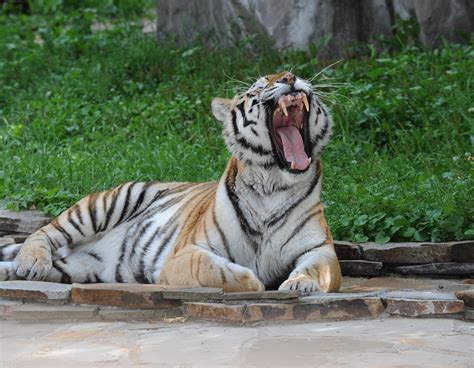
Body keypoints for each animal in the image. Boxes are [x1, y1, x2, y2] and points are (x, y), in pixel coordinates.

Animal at [0, 70, 340, 292]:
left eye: (294, 72)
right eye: (258, 87)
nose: (290, 78)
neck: (273, 183)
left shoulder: (321, 249)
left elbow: (318, 269)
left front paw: (300, 284)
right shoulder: (186, 253)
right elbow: (214, 269)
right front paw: (253, 280)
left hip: (81, 267)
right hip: (107, 203)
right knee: (45, 232)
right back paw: (32, 260)